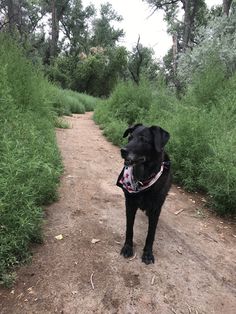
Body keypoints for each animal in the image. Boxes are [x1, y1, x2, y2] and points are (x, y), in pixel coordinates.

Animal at [116, 124, 171, 264]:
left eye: (144, 140)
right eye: (130, 137)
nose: (123, 150)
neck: (143, 179)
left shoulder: (156, 209)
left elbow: (151, 234)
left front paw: (148, 253)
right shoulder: (130, 204)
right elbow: (129, 228)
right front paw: (128, 247)